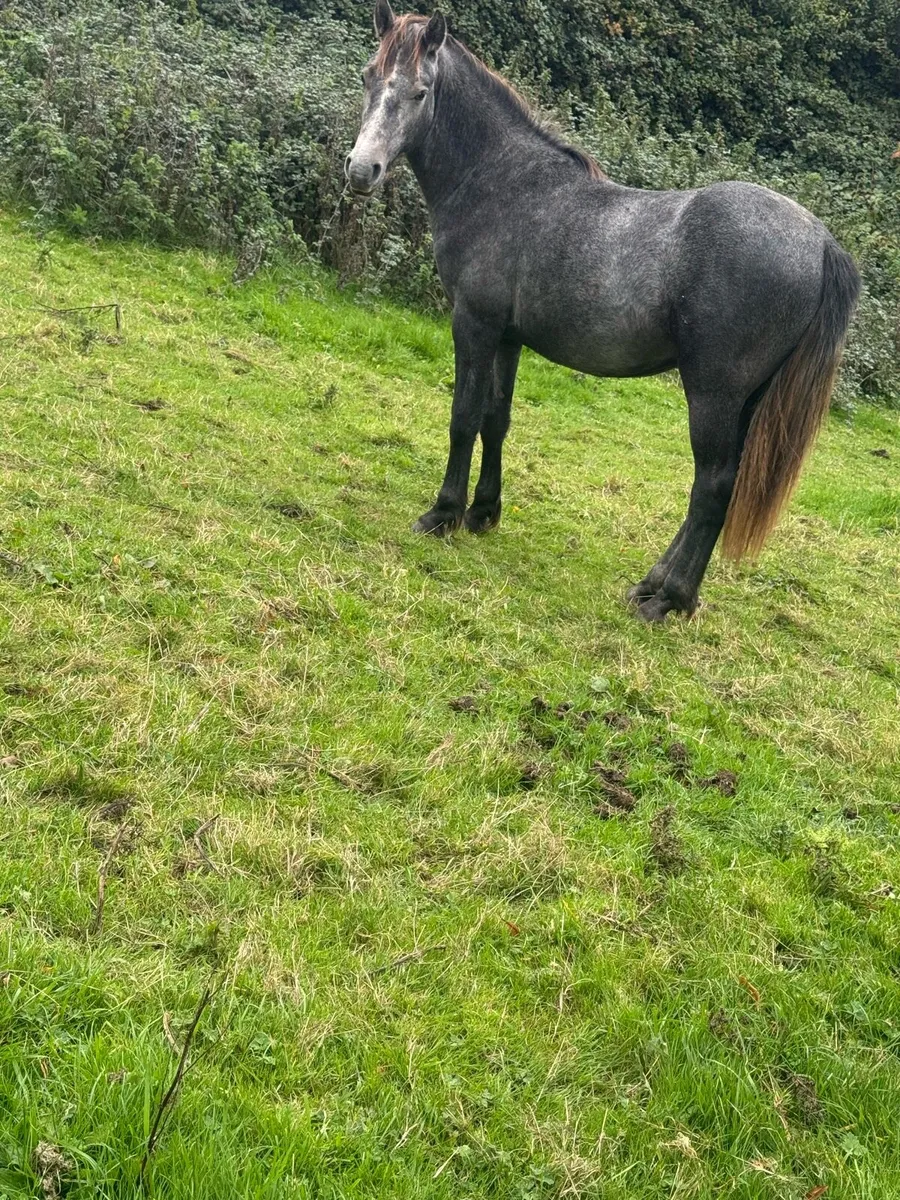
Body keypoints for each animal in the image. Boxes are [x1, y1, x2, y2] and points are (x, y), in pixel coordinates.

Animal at [345, 2, 861, 622]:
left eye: (420, 92)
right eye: (370, 77)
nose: (361, 171)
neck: (501, 182)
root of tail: (821, 240)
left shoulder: (474, 324)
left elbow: (463, 416)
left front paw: (442, 514)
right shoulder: (508, 338)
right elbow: (496, 419)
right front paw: (482, 513)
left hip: (714, 393)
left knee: (712, 485)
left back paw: (666, 599)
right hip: (747, 400)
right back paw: (657, 586)